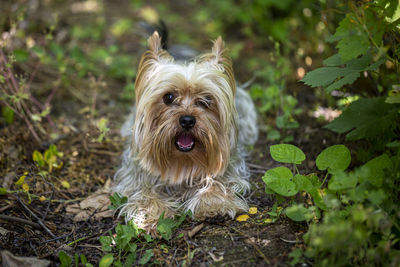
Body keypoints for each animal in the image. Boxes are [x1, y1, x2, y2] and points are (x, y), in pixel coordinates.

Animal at [114, 31, 258, 228]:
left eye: (206, 100)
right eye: (168, 97)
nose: (188, 120)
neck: (182, 162)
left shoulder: (229, 165)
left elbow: (216, 179)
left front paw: (213, 203)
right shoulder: (135, 174)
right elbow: (143, 191)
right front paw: (150, 213)